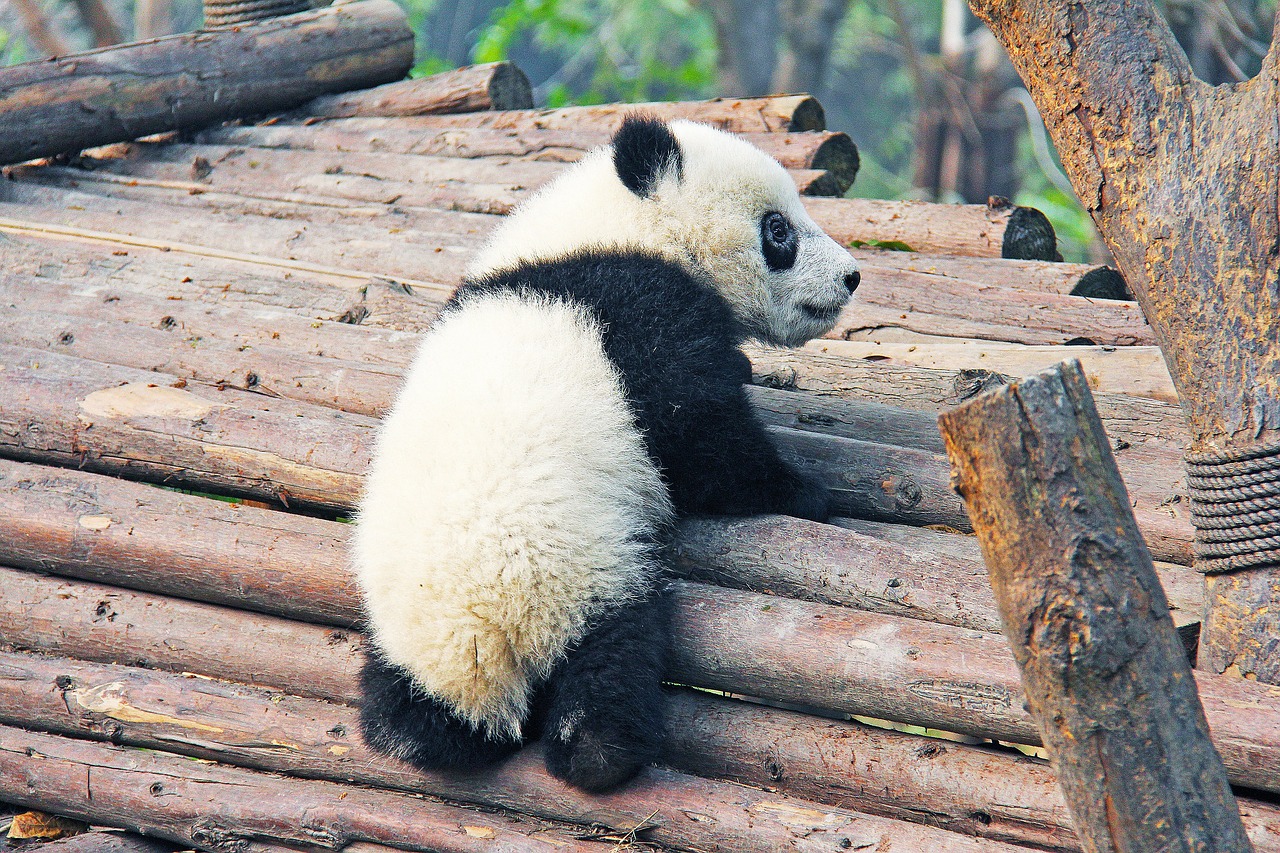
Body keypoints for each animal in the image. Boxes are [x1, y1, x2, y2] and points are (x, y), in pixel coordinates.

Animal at [353, 115, 861, 793]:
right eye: (778, 230)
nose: (851, 277)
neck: (613, 228)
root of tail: (480, 639)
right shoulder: (639, 313)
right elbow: (701, 438)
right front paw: (804, 491)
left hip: (405, 633)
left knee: (408, 709)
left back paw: (414, 732)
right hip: (582, 569)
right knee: (613, 656)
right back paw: (600, 752)